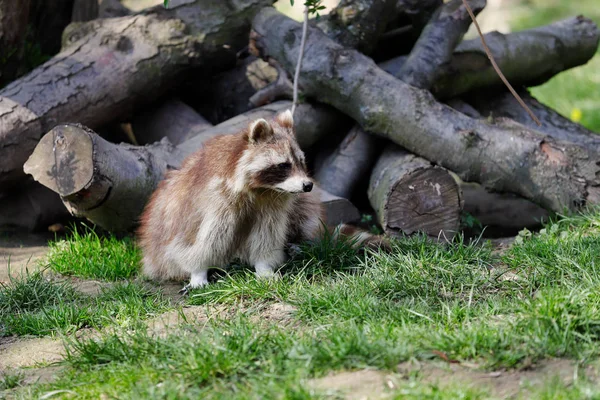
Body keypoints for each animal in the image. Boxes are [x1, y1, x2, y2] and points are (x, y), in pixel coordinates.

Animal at [137, 111, 390, 292]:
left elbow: (267, 234)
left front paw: (264, 266)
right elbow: (203, 237)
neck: (262, 190)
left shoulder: (275, 203)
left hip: (302, 205)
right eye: (284, 165)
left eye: (301, 162)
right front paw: (199, 270)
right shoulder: (213, 199)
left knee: (304, 214)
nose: (308, 185)